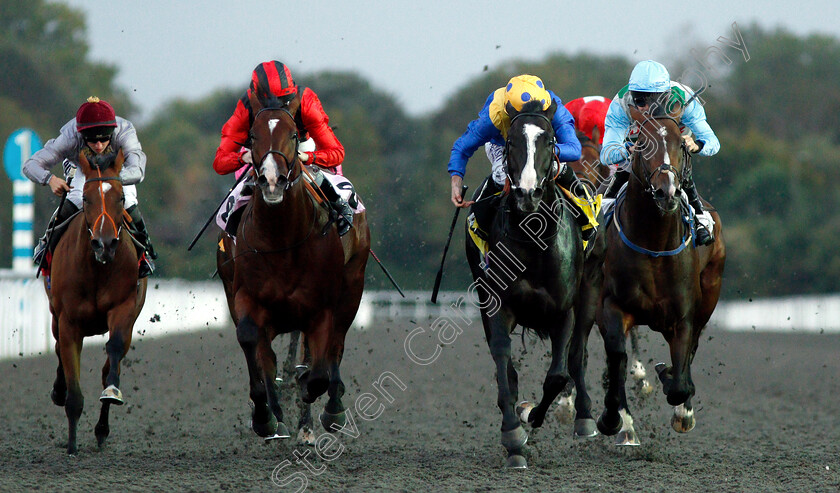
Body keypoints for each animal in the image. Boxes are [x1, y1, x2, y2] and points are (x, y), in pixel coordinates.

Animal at [46, 147, 148, 454]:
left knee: (108, 364)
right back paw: (59, 391)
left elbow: (112, 352)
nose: (105, 244)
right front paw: (71, 446)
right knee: (58, 349)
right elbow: (72, 382)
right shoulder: (68, 321)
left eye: (122, 198)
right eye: (87, 198)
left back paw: (102, 429)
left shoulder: (123, 309)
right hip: (55, 316)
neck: (96, 269)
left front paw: (111, 393)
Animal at [218, 86, 370, 440]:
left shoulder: (321, 307)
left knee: (335, 345)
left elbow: (319, 370)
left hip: (352, 285)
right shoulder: (246, 296)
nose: (271, 180)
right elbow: (253, 343)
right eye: (252, 135)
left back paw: (325, 411)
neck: (282, 239)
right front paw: (265, 414)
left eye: (293, 134)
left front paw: (313, 403)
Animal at [466, 98, 592, 468]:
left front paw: (531, 415)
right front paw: (513, 436)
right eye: (510, 143)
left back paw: (584, 419)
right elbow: (504, 364)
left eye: (549, 141)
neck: (534, 238)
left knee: (577, 356)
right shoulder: (498, 305)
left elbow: (558, 376)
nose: (527, 193)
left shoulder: (564, 311)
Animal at [592, 105, 724, 444]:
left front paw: (680, 403)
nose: (667, 192)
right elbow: (617, 358)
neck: (652, 242)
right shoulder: (611, 306)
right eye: (642, 145)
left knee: (692, 349)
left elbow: (679, 378)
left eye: (681, 145)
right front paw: (613, 419)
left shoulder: (683, 316)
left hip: (709, 294)